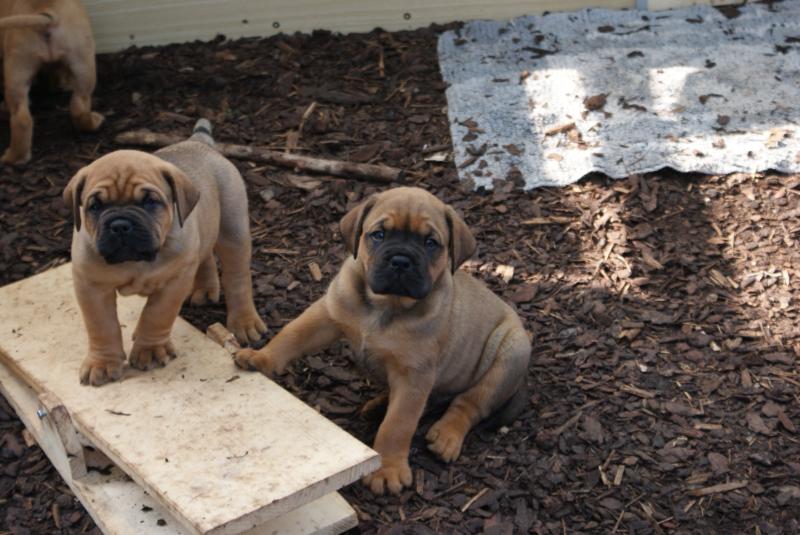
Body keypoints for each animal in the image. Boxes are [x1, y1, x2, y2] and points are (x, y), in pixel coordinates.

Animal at [0, 0, 103, 165]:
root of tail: (44, 13)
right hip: (84, 65)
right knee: (80, 105)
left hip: (19, 69)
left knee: (21, 118)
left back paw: (14, 158)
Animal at [64, 120, 266, 386]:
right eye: (95, 206)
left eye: (150, 202)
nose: (120, 224)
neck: (136, 262)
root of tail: (197, 141)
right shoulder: (91, 286)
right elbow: (102, 326)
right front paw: (103, 362)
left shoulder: (175, 281)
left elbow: (156, 314)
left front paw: (149, 350)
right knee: (205, 255)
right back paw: (205, 289)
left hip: (233, 230)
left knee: (237, 277)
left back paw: (244, 321)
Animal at [235, 187, 531, 494]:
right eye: (378, 234)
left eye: (430, 243)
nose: (401, 260)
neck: (386, 305)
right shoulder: (327, 315)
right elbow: (292, 334)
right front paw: (261, 357)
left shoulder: (414, 376)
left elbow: (398, 424)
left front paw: (388, 469)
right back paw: (379, 405)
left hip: (511, 352)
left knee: (470, 402)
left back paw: (447, 435)